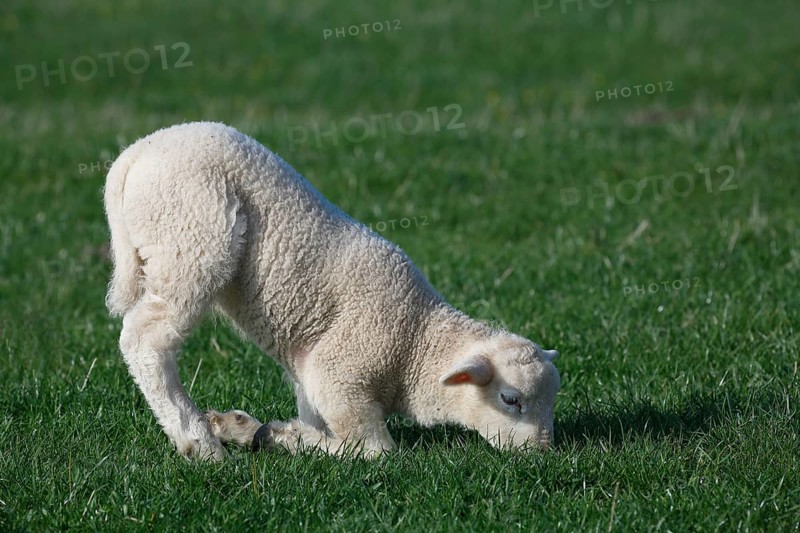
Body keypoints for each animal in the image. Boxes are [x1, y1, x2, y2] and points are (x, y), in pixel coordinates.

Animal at [105, 121, 561, 461]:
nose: (542, 454)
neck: (414, 343)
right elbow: (373, 451)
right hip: (190, 244)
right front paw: (283, 437)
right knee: (145, 340)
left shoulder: (312, 374)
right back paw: (198, 442)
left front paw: (246, 428)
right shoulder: (340, 376)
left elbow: (312, 417)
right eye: (511, 399)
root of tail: (133, 156)